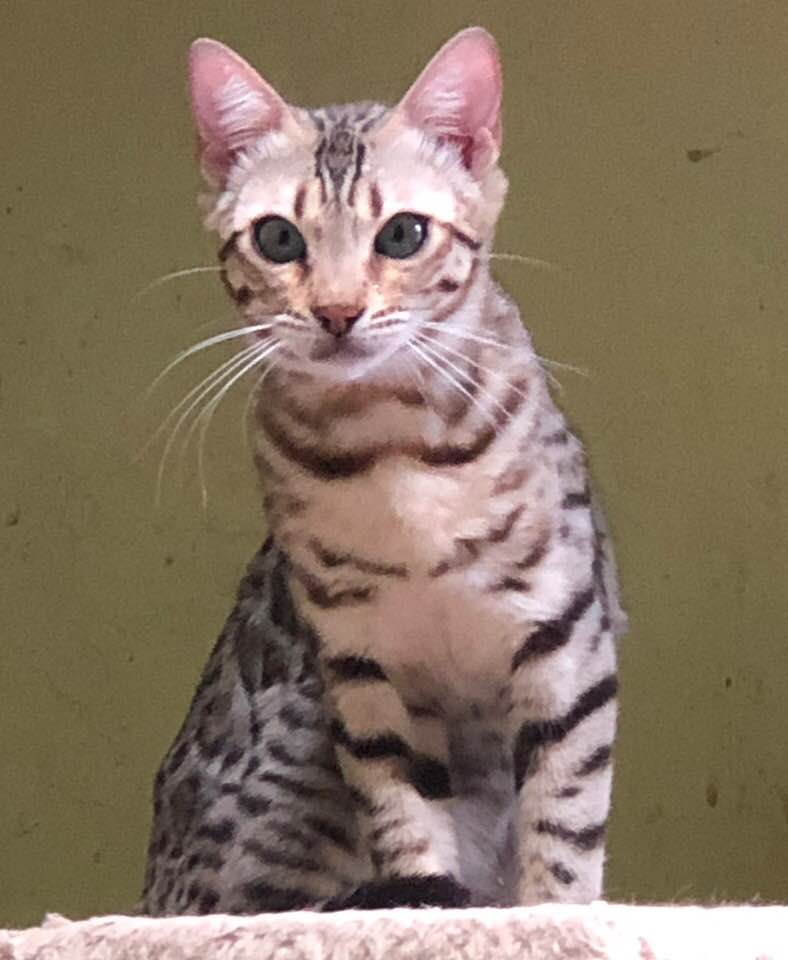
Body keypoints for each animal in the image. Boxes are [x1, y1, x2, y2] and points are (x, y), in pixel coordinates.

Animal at [140, 26, 626, 915]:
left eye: (401, 235)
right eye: (278, 238)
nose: (337, 311)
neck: (391, 453)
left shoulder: (568, 643)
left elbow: (564, 817)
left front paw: (555, 913)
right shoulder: (361, 666)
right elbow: (403, 811)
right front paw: (428, 894)